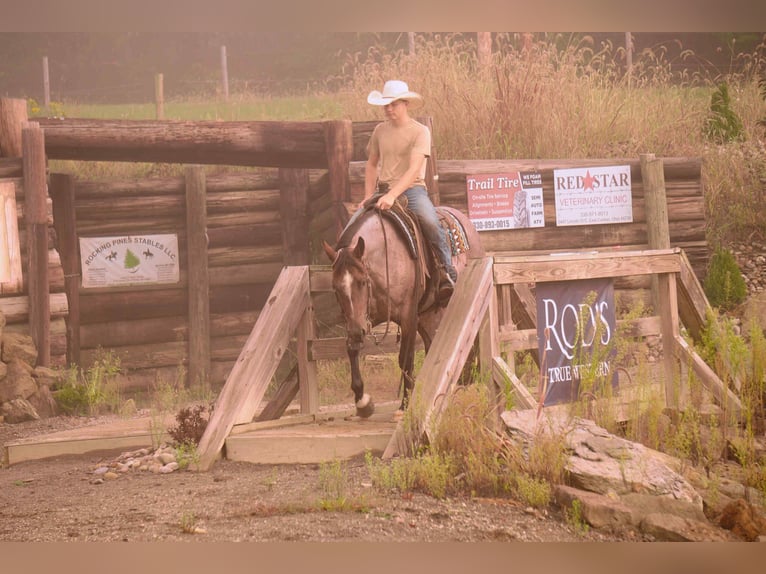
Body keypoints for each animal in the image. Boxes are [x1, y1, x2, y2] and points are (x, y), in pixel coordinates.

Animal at [322, 203, 484, 418]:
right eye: (336, 287)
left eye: (362, 281)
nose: (357, 332)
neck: (384, 258)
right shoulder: (360, 319)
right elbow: (352, 349)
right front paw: (363, 401)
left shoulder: (408, 317)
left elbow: (405, 360)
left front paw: (404, 406)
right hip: (429, 314)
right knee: (433, 344)